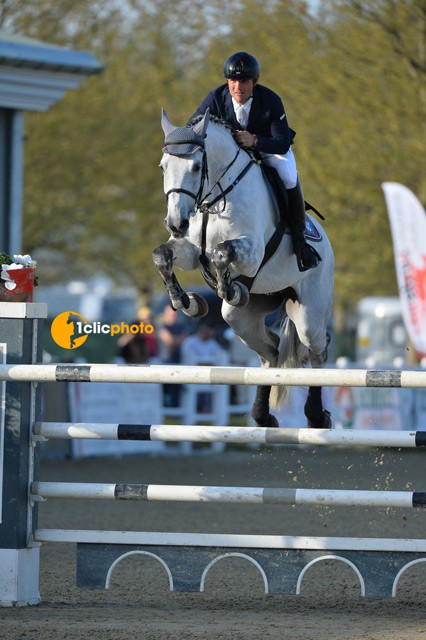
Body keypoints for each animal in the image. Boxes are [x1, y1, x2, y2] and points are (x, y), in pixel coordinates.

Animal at [151, 112, 334, 428]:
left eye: (196, 166)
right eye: (163, 167)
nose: (176, 223)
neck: (212, 199)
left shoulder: (251, 253)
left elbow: (223, 252)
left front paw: (229, 289)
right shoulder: (188, 251)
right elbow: (163, 255)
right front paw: (186, 301)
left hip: (310, 313)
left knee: (317, 352)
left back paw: (316, 417)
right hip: (240, 318)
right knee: (271, 352)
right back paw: (262, 416)